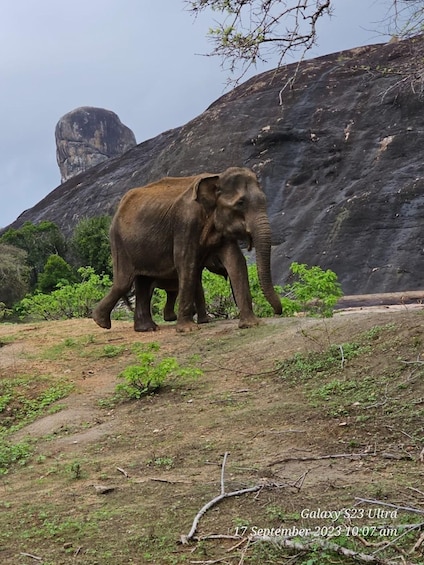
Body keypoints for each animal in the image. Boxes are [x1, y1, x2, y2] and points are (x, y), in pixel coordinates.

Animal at [94, 165, 284, 332]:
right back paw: (101, 322)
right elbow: (187, 264)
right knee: (124, 281)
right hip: (118, 241)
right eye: (240, 203)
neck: (216, 177)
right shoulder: (185, 223)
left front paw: (251, 324)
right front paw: (188, 329)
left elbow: (236, 261)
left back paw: (146, 328)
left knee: (143, 281)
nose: (278, 312)